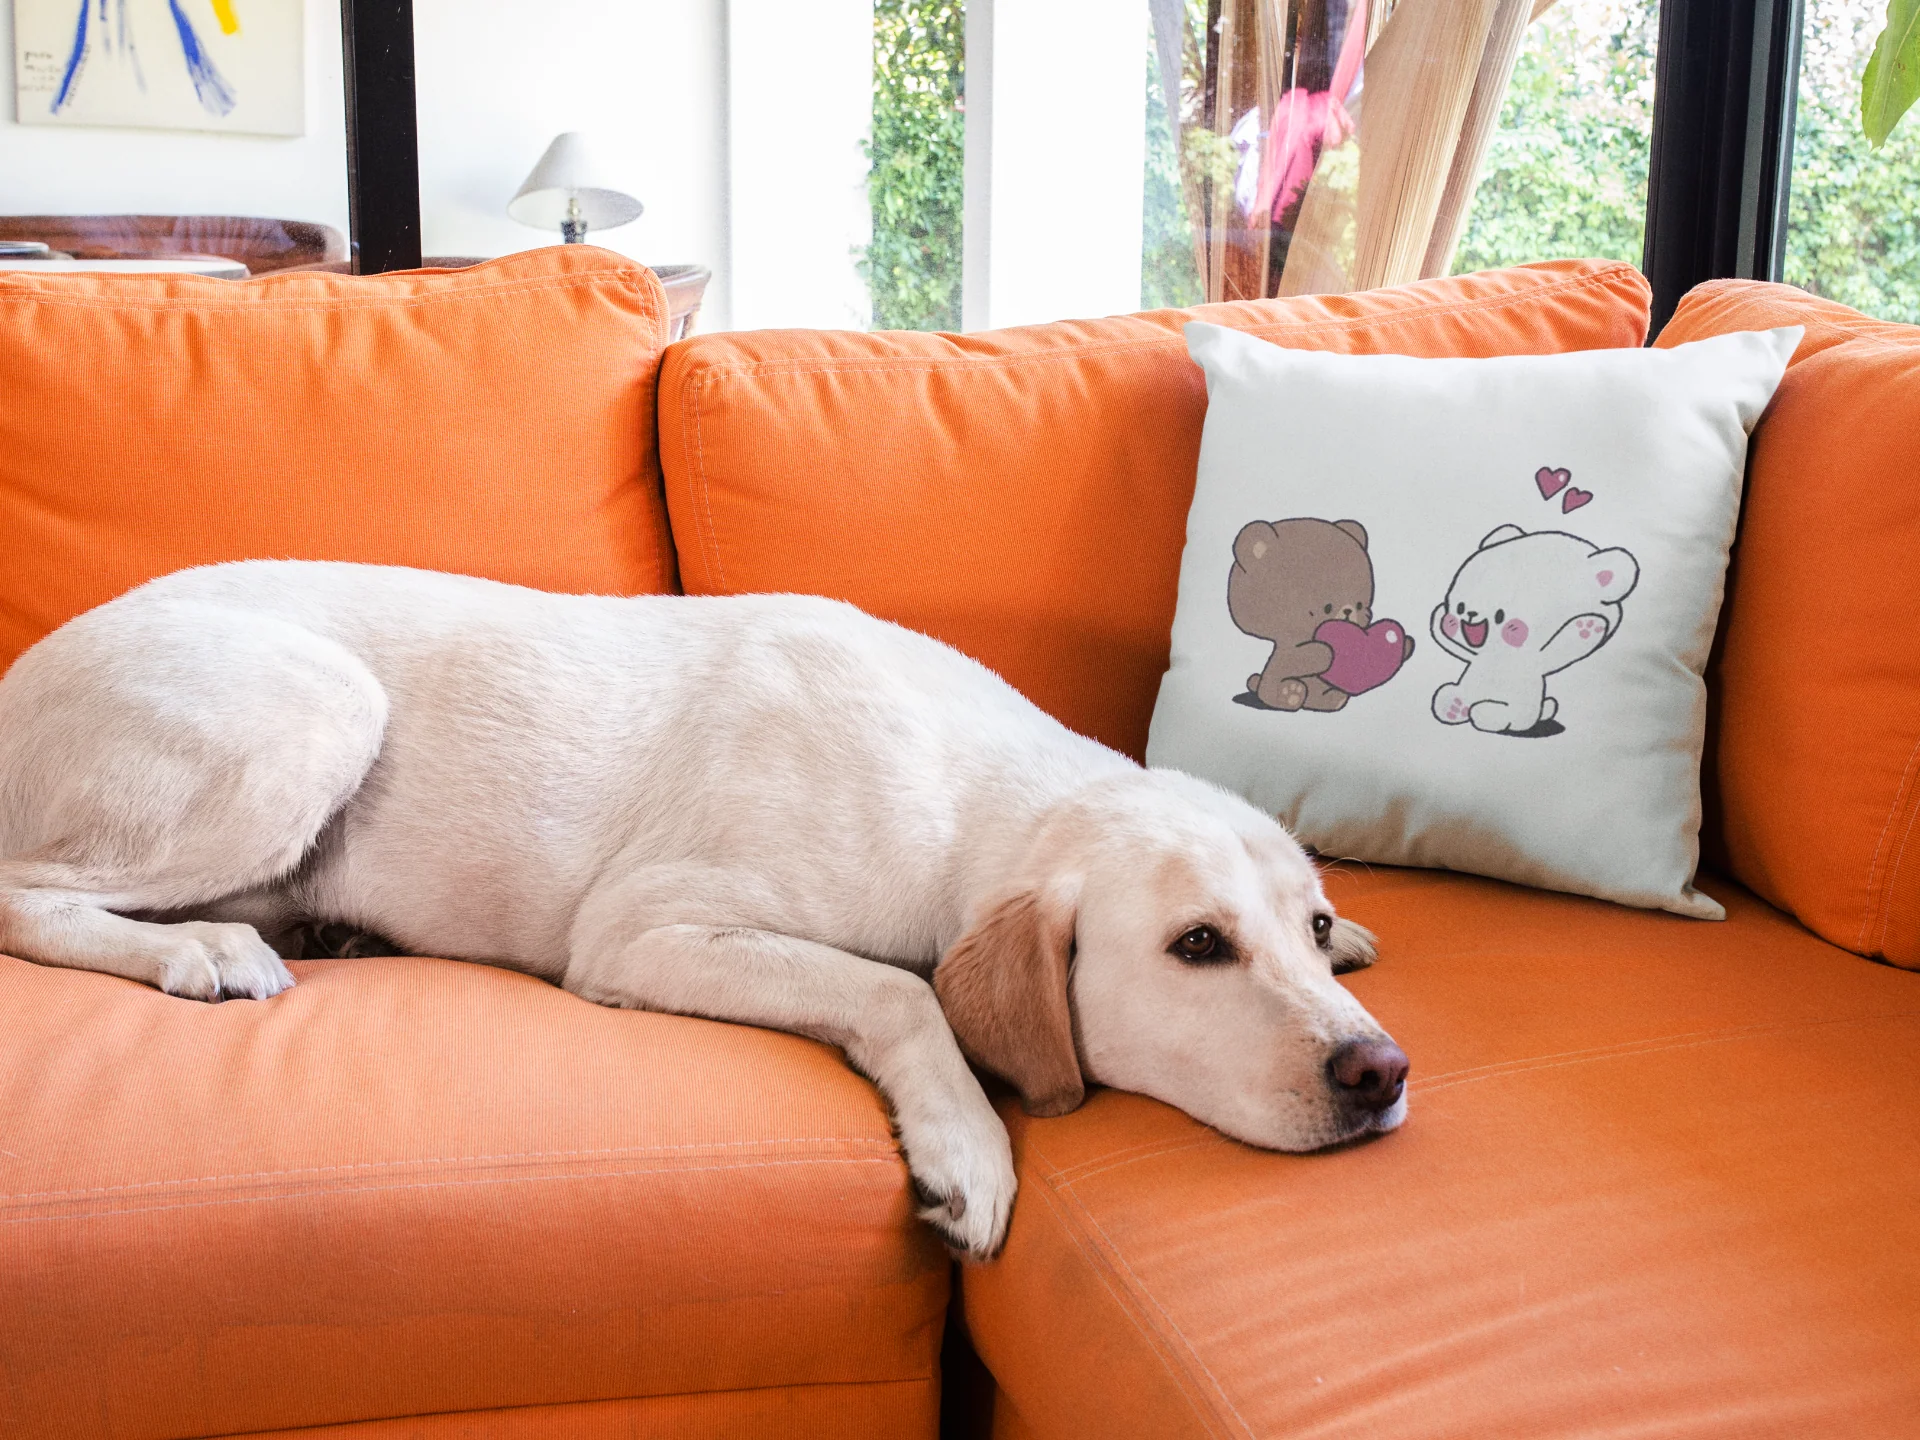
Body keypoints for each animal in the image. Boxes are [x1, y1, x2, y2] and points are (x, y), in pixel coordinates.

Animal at [1228, 517, 1412, 712]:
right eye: (1327, 607)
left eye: (1360, 605)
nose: (1348, 610)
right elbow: (1301, 657)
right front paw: (1324, 652)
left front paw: (1406, 645)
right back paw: (1291, 693)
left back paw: (1333, 698)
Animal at [1429, 524, 1640, 737]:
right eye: (1460, 607)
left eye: (1500, 616)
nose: (1470, 614)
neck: (1499, 656)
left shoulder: (1538, 659)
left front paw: (1587, 626)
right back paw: (1454, 706)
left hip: (1518, 709)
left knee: (1507, 716)